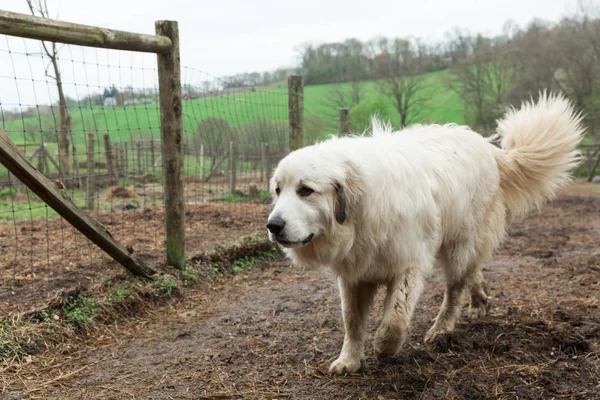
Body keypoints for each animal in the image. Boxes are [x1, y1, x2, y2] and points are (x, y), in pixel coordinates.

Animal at [264, 92, 584, 376]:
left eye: (305, 190)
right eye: (278, 191)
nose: (273, 225)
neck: (361, 211)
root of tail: (487, 147)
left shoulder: (408, 265)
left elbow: (395, 318)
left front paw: (384, 345)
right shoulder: (355, 275)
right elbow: (351, 321)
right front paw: (349, 360)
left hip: (458, 245)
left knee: (455, 289)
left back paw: (442, 329)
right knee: (473, 271)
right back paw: (480, 302)